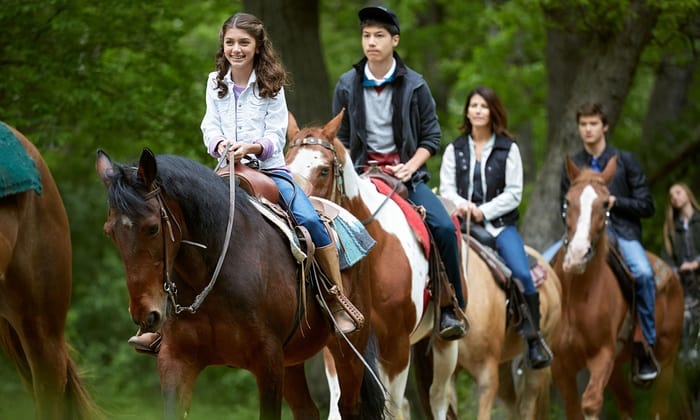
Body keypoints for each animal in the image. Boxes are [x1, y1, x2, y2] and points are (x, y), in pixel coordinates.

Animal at [93, 149, 382, 418]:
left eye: (152, 228)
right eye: (109, 232)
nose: (145, 314)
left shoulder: (268, 361)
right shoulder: (175, 359)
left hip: (348, 350)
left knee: (349, 407)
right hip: (292, 360)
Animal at [284, 110, 460, 418]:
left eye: (324, 170)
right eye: (285, 163)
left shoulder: (396, 349)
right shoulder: (338, 345)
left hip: (443, 345)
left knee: (437, 399)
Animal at [552, 156, 684, 418]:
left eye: (605, 204)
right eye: (567, 201)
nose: (577, 256)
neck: (576, 297)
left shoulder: (603, 355)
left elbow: (590, 403)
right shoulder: (562, 365)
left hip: (667, 359)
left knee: (659, 408)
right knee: (626, 404)